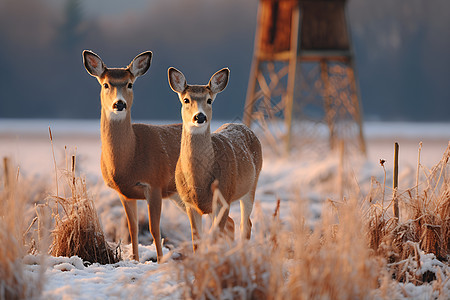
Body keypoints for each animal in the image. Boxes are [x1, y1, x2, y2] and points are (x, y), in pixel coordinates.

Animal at [82, 49, 183, 262]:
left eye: (130, 84)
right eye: (106, 84)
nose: (119, 104)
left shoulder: (154, 184)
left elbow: (154, 229)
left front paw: (160, 261)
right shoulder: (125, 193)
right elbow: (132, 229)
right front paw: (135, 260)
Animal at [167, 66, 262, 251]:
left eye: (209, 100)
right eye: (186, 100)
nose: (200, 116)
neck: (199, 182)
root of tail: (244, 127)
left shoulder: (224, 199)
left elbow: (214, 236)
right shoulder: (190, 205)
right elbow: (197, 241)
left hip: (251, 186)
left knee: (246, 224)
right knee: (233, 224)